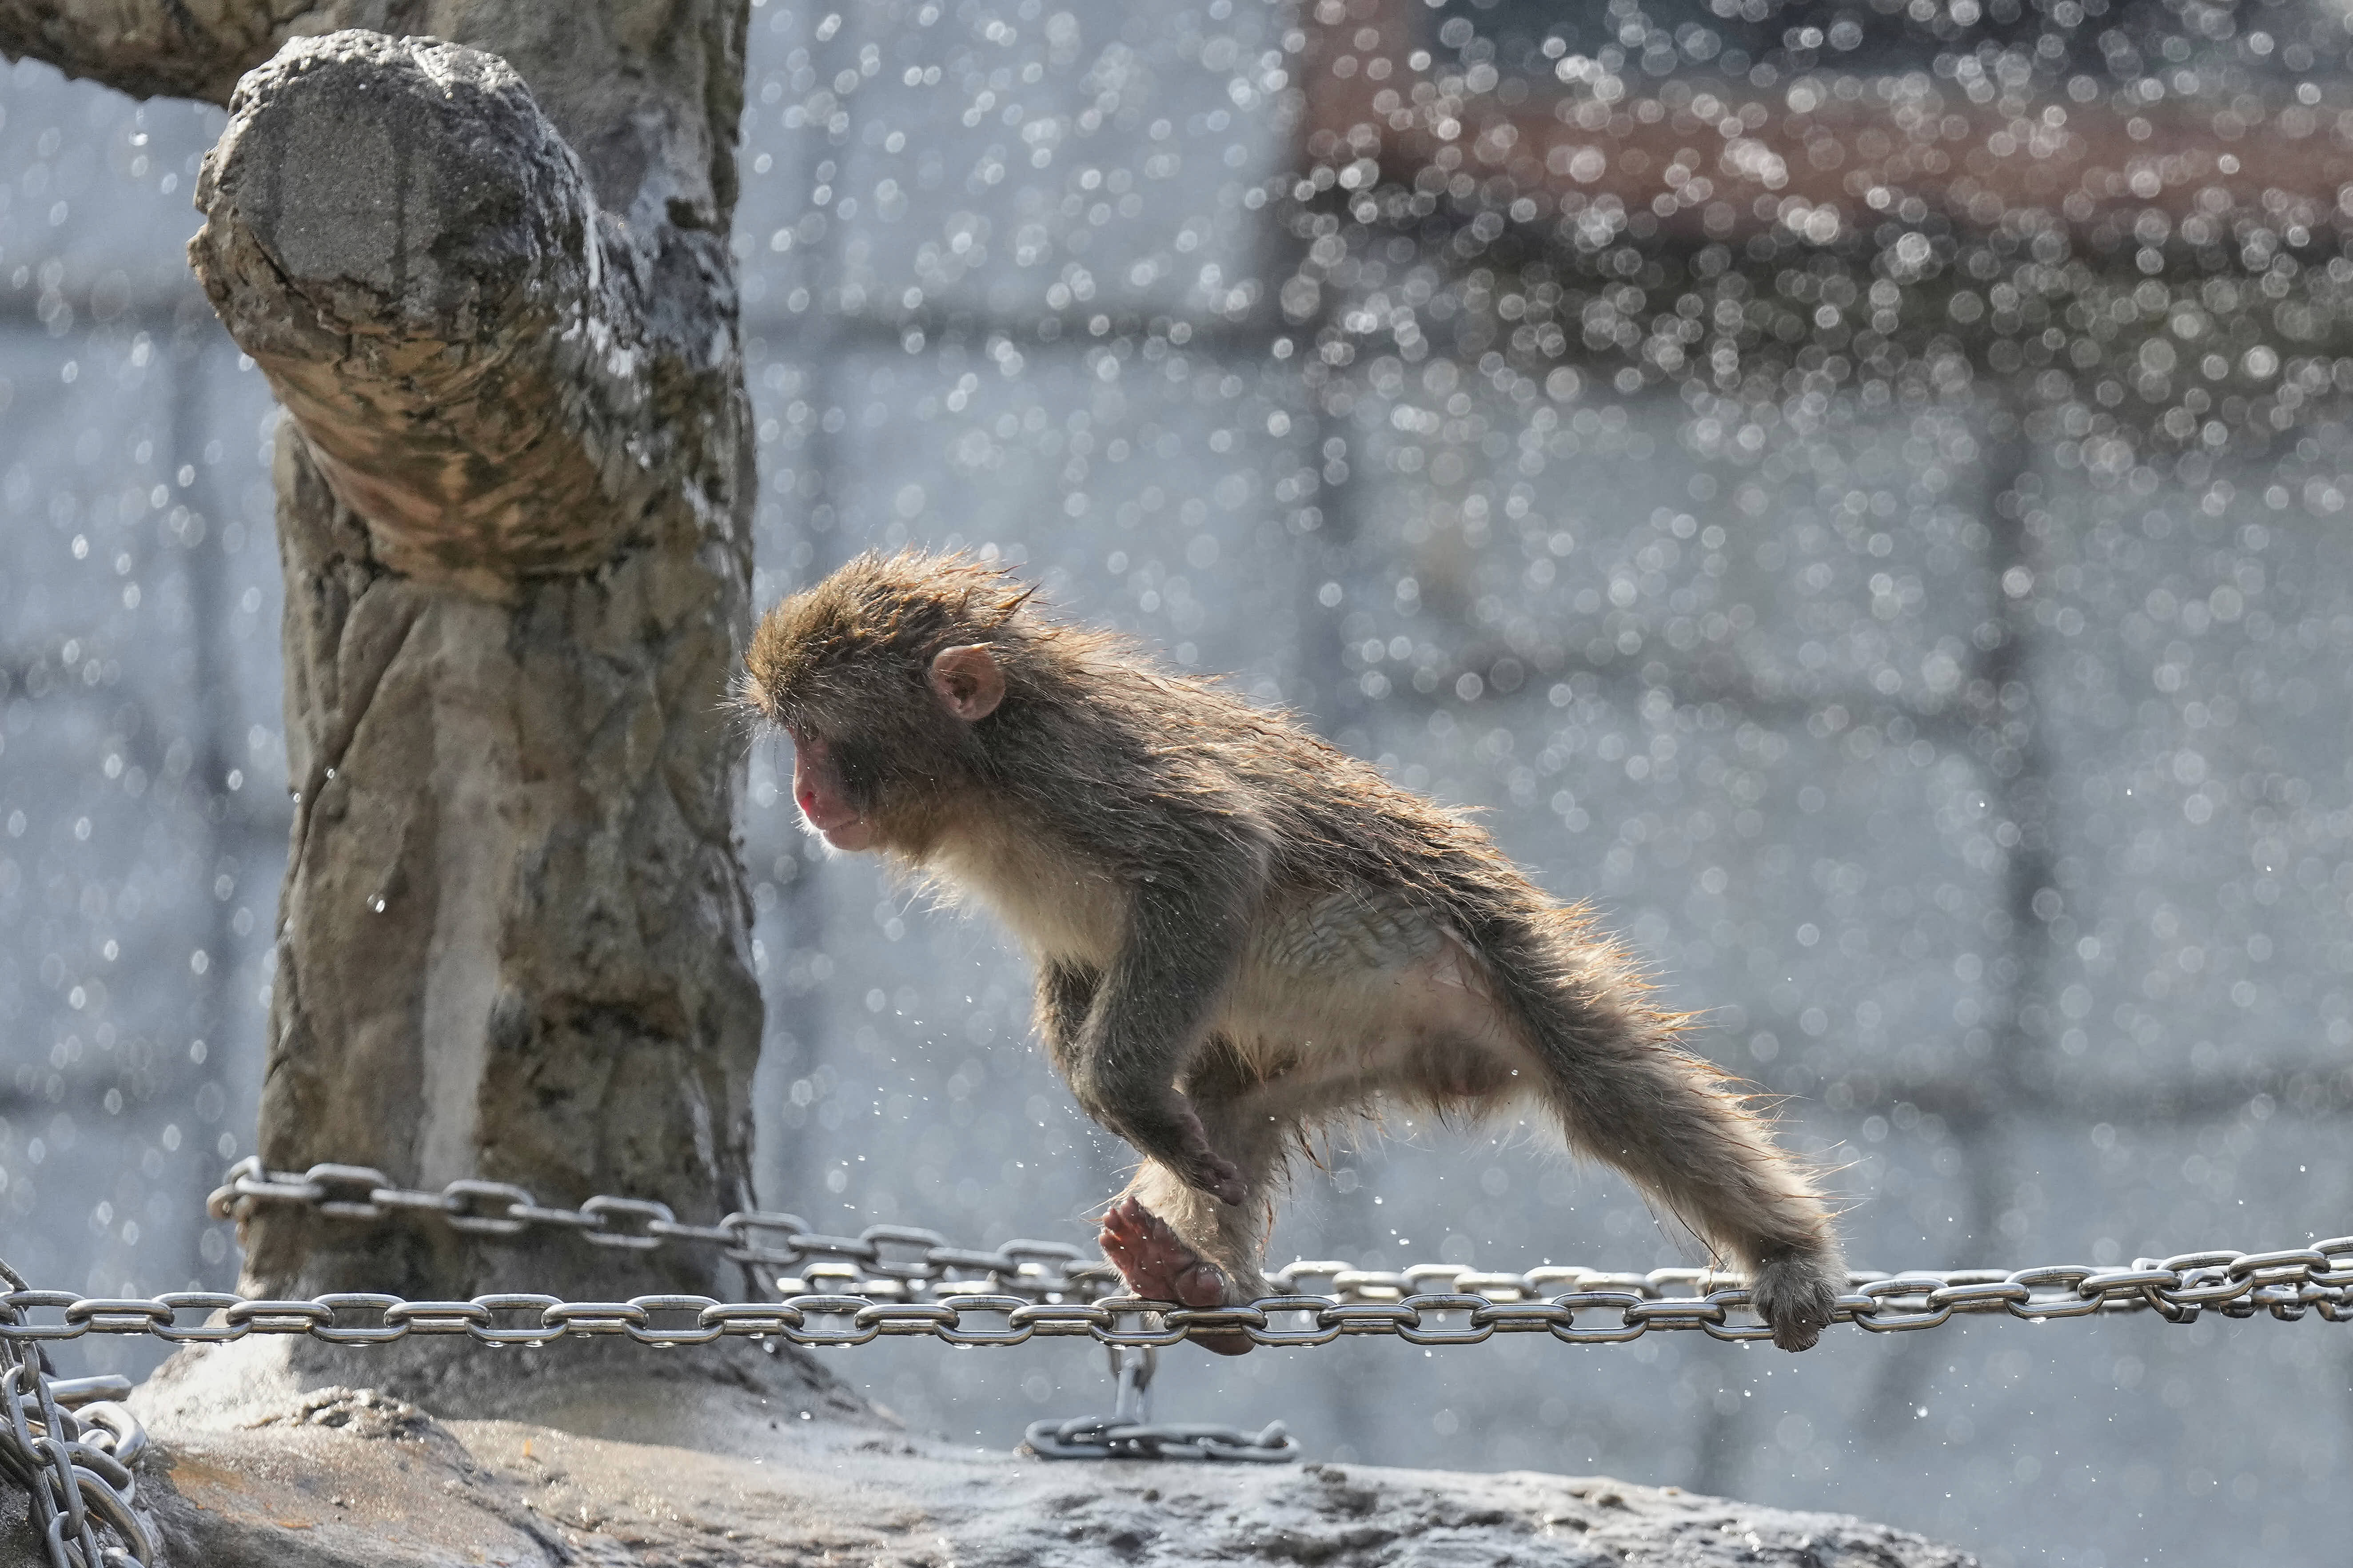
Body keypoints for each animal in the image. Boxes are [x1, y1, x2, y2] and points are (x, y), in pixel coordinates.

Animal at [742, 550, 1845, 1354]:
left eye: (817, 735)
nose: (802, 794)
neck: (982, 778)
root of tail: (1458, 1062)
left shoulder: (1080, 775)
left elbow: (1215, 857)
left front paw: (1116, 1093)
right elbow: (1081, 975)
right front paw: (1116, 1100)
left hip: (1500, 966)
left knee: (1608, 1088)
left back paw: (1786, 1250)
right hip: (1342, 1055)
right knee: (1232, 1111)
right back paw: (1199, 1285)